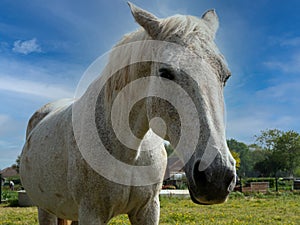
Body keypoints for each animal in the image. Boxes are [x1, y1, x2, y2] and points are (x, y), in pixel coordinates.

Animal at [20, 2, 237, 224]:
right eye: (165, 72)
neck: (130, 151)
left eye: (225, 76)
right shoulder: (91, 212)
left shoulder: (148, 209)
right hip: (46, 209)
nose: (217, 177)